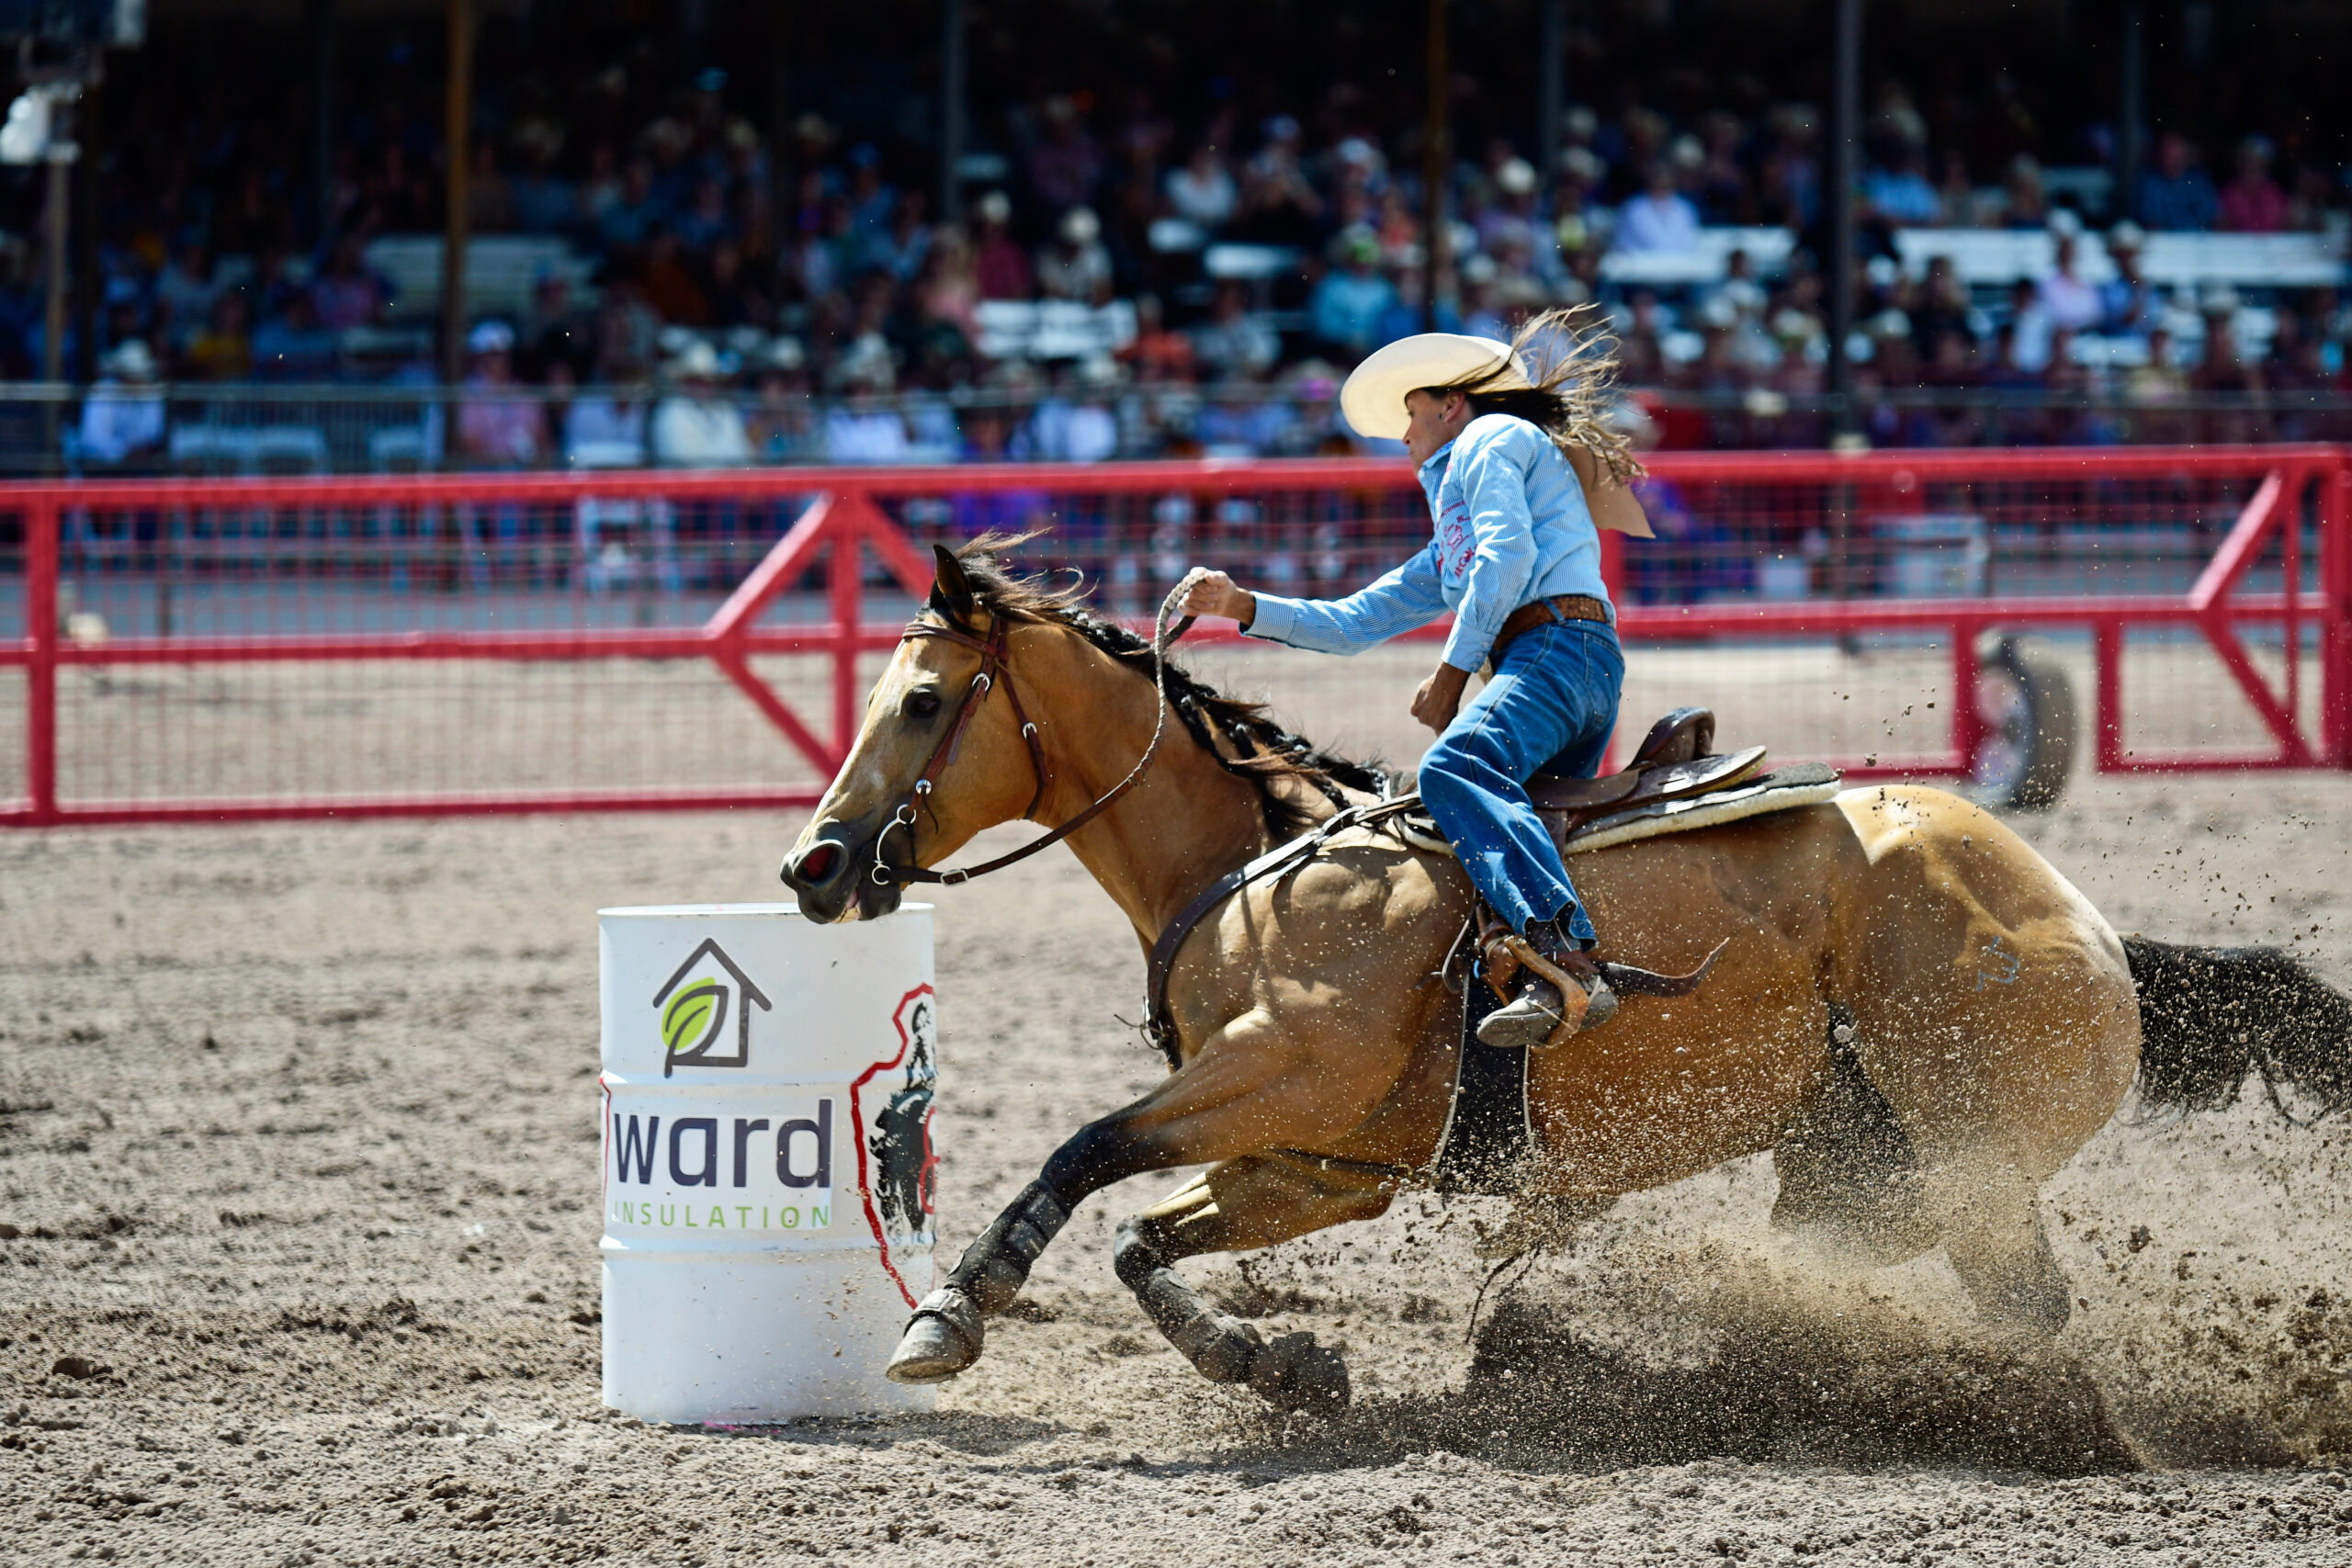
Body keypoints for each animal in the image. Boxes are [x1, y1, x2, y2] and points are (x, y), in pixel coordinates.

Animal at [779, 538, 2352, 1415]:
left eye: (922, 698)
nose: (814, 863)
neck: (1259, 866)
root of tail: (2086, 922)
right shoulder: (1322, 1158)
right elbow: (1142, 1238)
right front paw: (1284, 1365)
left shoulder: (1280, 1071)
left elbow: (1083, 1147)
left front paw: (949, 1310)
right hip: (1856, 1167)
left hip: (1963, 1161)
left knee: (2025, 1311)